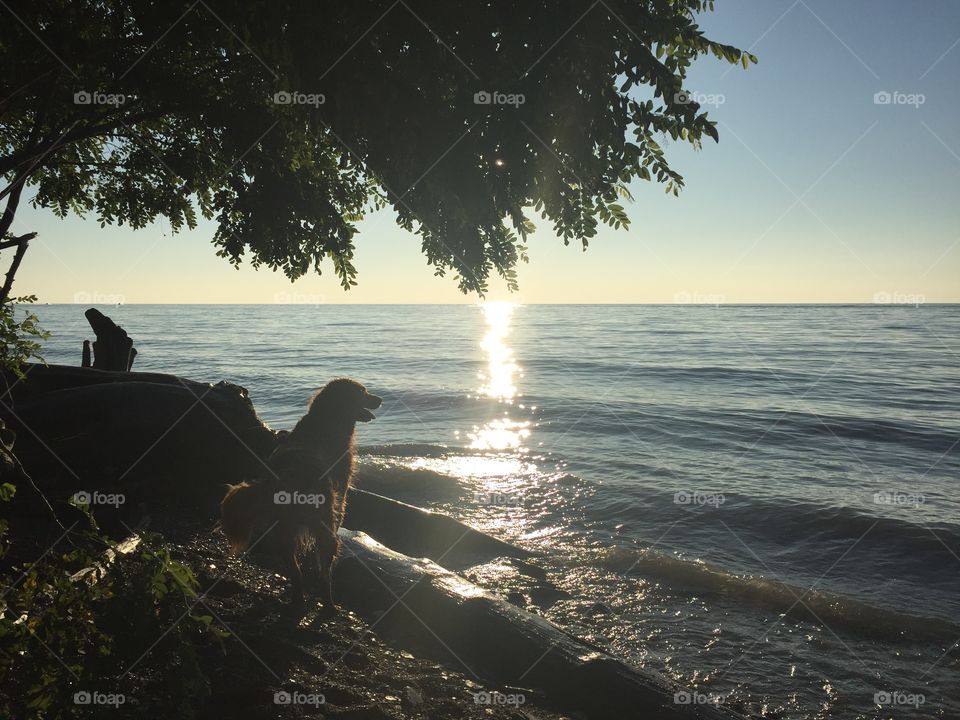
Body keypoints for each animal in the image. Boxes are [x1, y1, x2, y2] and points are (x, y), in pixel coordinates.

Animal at [219, 376, 380, 612]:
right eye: (363, 392)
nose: (380, 399)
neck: (327, 419)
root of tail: (287, 476)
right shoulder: (340, 493)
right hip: (322, 525)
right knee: (324, 571)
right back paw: (329, 605)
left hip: (282, 530)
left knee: (295, 570)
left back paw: (298, 600)